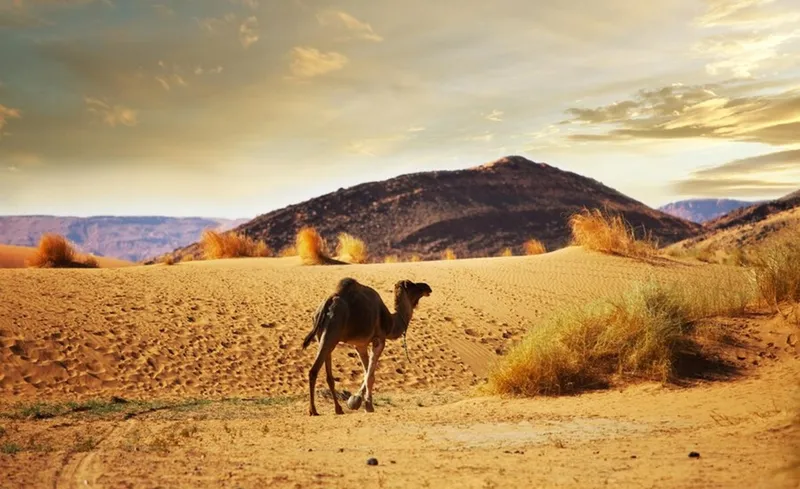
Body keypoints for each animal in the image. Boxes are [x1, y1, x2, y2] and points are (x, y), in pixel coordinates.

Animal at [304, 276, 434, 414]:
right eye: (412, 284)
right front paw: (367, 405)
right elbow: (370, 376)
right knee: (313, 370)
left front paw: (357, 401)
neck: (391, 323)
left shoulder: (360, 345)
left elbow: (367, 372)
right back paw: (313, 410)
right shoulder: (379, 340)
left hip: (322, 335)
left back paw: (338, 409)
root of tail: (328, 302)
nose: (427, 287)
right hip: (332, 332)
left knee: (328, 375)